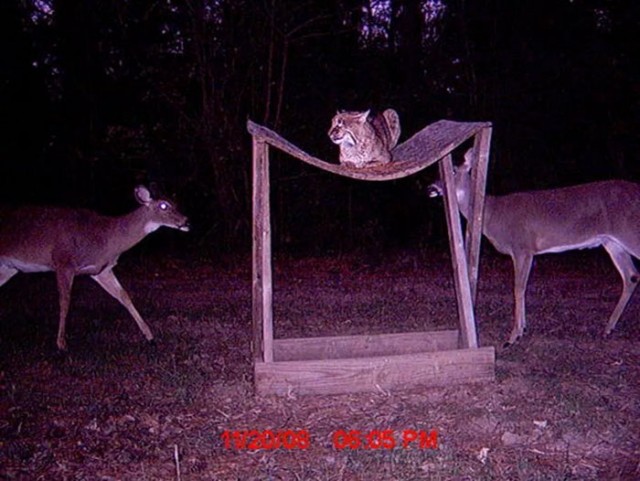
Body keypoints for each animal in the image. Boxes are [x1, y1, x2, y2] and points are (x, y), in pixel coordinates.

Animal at [0, 187, 190, 348]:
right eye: (164, 205)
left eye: (175, 202)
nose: (186, 221)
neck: (107, 238)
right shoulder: (63, 261)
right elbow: (65, 301)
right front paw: (61, 343)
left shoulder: (101, 270)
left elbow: (124, 296)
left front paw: (149, 335)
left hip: (9, 267)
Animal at [428, 150, 640, 344]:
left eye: (453, 171)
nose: (431, 187)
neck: (492, 215)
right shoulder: (524, 250)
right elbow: (520, 288)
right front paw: (521, 330)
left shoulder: (522, 247)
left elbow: (518, 287)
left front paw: (513, 336)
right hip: (611, 242)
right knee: (631, 276)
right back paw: (607, 328)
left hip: (630, 231)